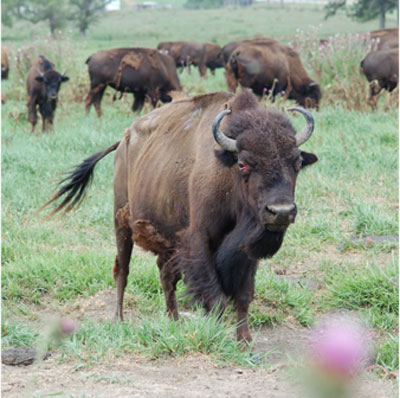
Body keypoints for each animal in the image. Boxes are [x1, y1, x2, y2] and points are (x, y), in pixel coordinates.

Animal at [43, 90, 318, 342]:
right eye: (243, 164)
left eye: (297, 162)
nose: (281, 212)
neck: (226, 171)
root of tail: (123, 141)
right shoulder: (199, 239)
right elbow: (215, 296)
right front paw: (217, 336)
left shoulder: (246, 249)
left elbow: (243, 295)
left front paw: (245, 342)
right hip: (121, 223)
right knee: (123, 269)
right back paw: (118, 321)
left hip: (167, 239)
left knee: (166, 275)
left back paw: (173, 321)